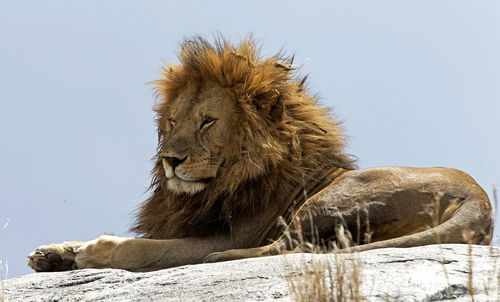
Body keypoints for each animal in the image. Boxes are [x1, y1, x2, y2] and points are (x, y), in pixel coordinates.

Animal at [27, 36, 492, 272]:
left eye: (207, 122)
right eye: (173, 122)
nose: (170, 161)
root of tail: (480, 200)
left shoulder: (229, 232)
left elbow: (142, 249)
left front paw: (93, 252)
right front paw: (55, 253)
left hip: (330, 199)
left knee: (287, 249)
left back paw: (218, 260)